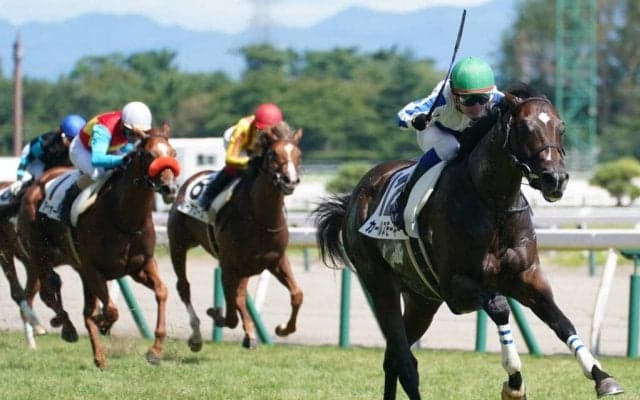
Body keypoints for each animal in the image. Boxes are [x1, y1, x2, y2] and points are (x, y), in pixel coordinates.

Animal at [17, 124, 180, 368]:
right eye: (149, 155)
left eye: (173, 153)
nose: (170, 188)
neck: (125, 219)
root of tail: (37, 184)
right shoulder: (93, 269)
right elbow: (109, 310)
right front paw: (103, 322)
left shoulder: (141, 266)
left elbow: (161, 292)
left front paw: (155, 351)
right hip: (40, 253)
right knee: (49, 289)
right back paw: (67, 328)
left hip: (75, 268)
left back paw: (99, 357)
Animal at [167, 122, 303, 350]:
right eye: (273, 154)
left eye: (298, 154)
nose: (290, 181)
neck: (261, 219)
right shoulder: (229, 264)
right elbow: (232, 311)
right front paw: (217, 314)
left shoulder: (276, 260)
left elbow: (297, 294)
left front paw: (283, 329)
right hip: (177, 244)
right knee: (184, 287)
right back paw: (196, 337)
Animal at [313, 86, 623, 399]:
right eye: (525, 127)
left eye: (561, 127)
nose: (555, 180)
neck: (493, 205)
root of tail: (354, 199)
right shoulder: (456, 288)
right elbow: (499, 308)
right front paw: (514, 382)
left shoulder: (526, 277)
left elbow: (561, 321)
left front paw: (602, 376)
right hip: (380, 284)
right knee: (403, 358)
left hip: (422, 299)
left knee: (393, 358)